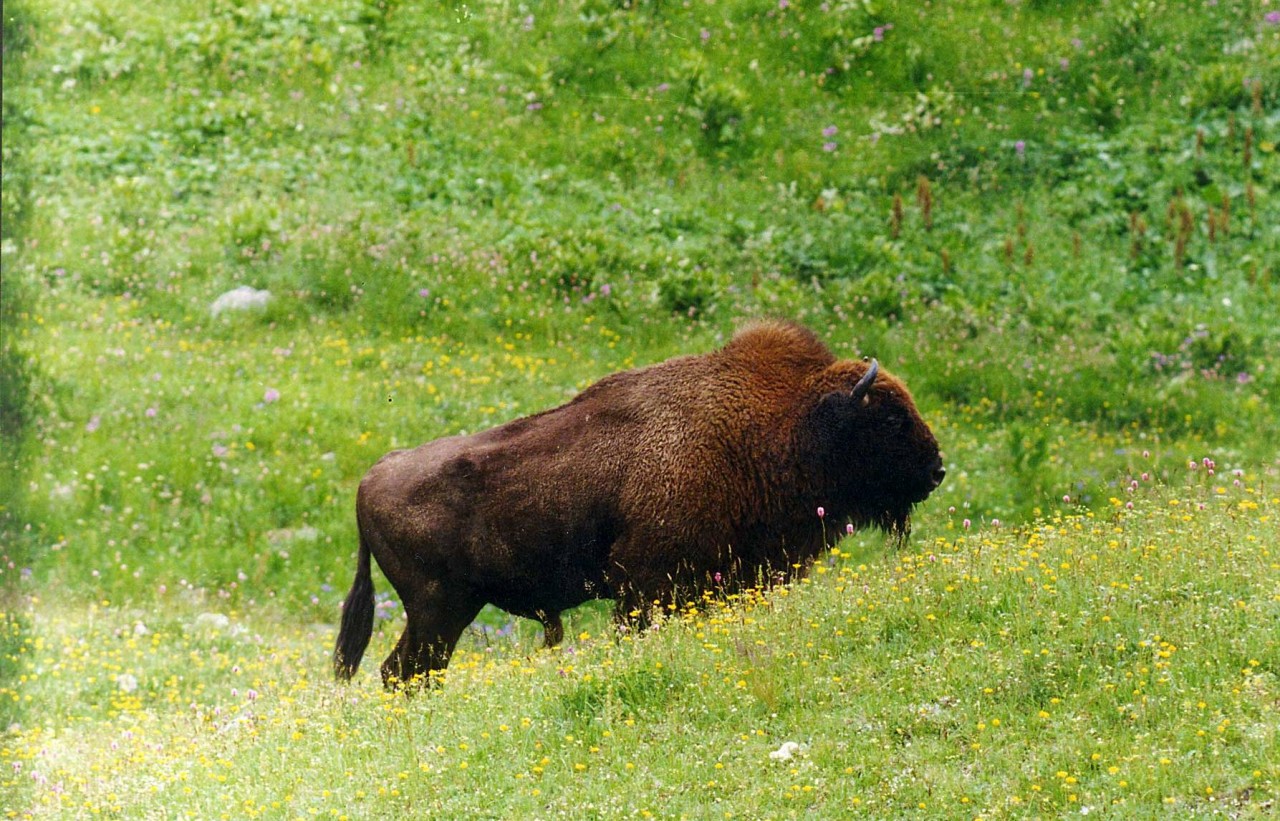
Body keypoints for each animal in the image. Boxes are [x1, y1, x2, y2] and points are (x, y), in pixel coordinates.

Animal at [335, 318, 947, 686]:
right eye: (889, 418)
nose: (937, 470)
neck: (784, 423)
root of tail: (373, 476)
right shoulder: (645, 586)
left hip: (442, 613)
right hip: (440, 610)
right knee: (404, 670)